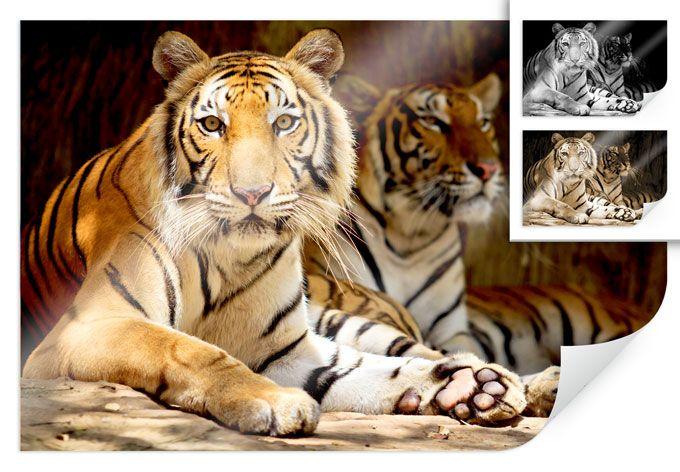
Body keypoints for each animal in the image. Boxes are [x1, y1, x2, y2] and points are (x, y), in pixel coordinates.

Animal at [21, 29, 529, 436]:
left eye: (284, 122)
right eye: (212, 124)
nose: (252, 192)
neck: (228, 255)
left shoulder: (288, 351)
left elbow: (364, 371)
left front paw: (466, 385)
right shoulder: (89, 326)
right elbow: (189, 349)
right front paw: (275, 402)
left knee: (409, 347)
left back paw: (482, 377)